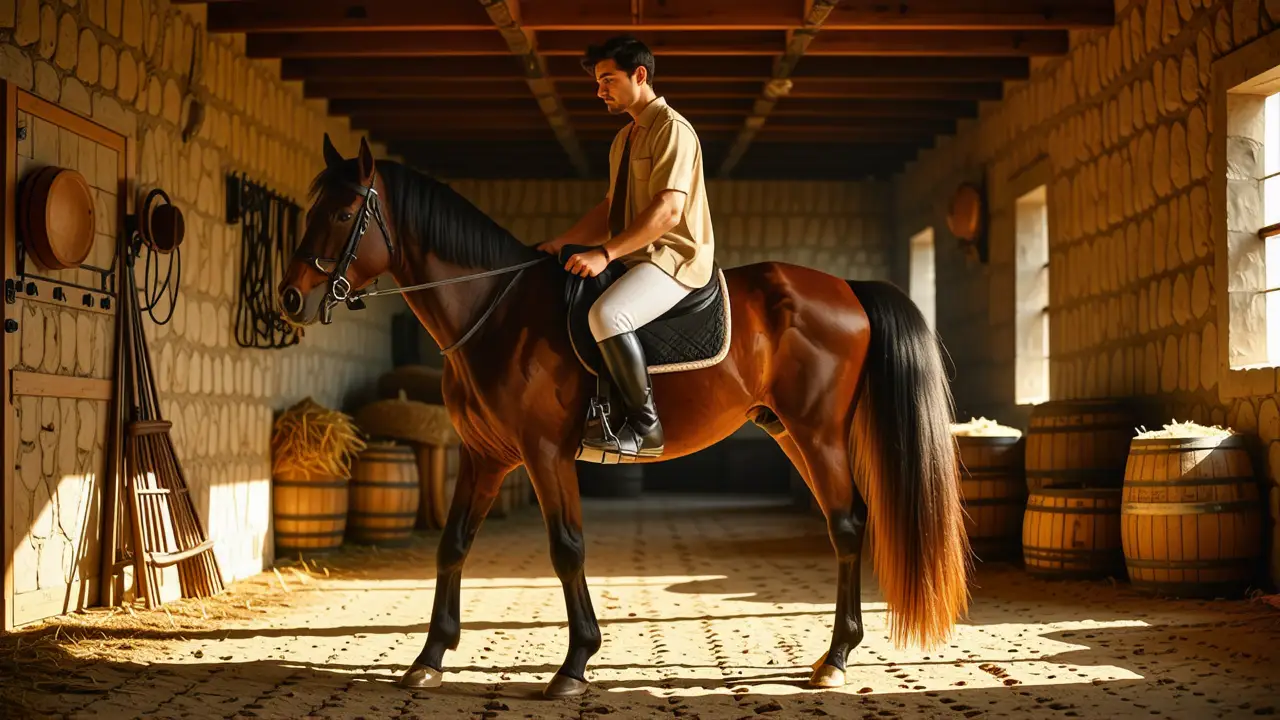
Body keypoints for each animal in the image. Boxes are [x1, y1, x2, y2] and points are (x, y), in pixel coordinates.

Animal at [277, 135, 972, 698]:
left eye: (344, 214)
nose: (290, 299)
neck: (494, 309)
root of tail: (847, 288)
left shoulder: (544, 452)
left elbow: (566, 548)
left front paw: (574, 666)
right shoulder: (484, 455)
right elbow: (453, 545)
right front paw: (428, 659)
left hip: (818, 434)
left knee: (849, 526)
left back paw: (835, 660)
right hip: (791, 434)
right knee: (843, 522)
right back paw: (836, 654)